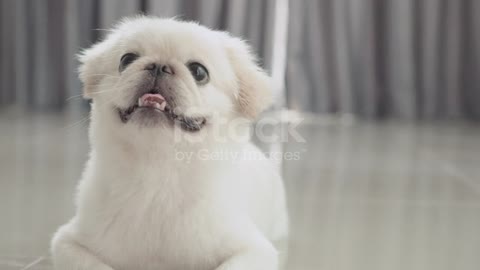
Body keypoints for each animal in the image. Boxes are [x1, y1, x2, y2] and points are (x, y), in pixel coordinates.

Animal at [50, 16, 286, 270]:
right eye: (126, 60)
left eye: (199, 72)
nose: (159, 65)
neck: (158, 171)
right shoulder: (67, 242)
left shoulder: (254, 249)